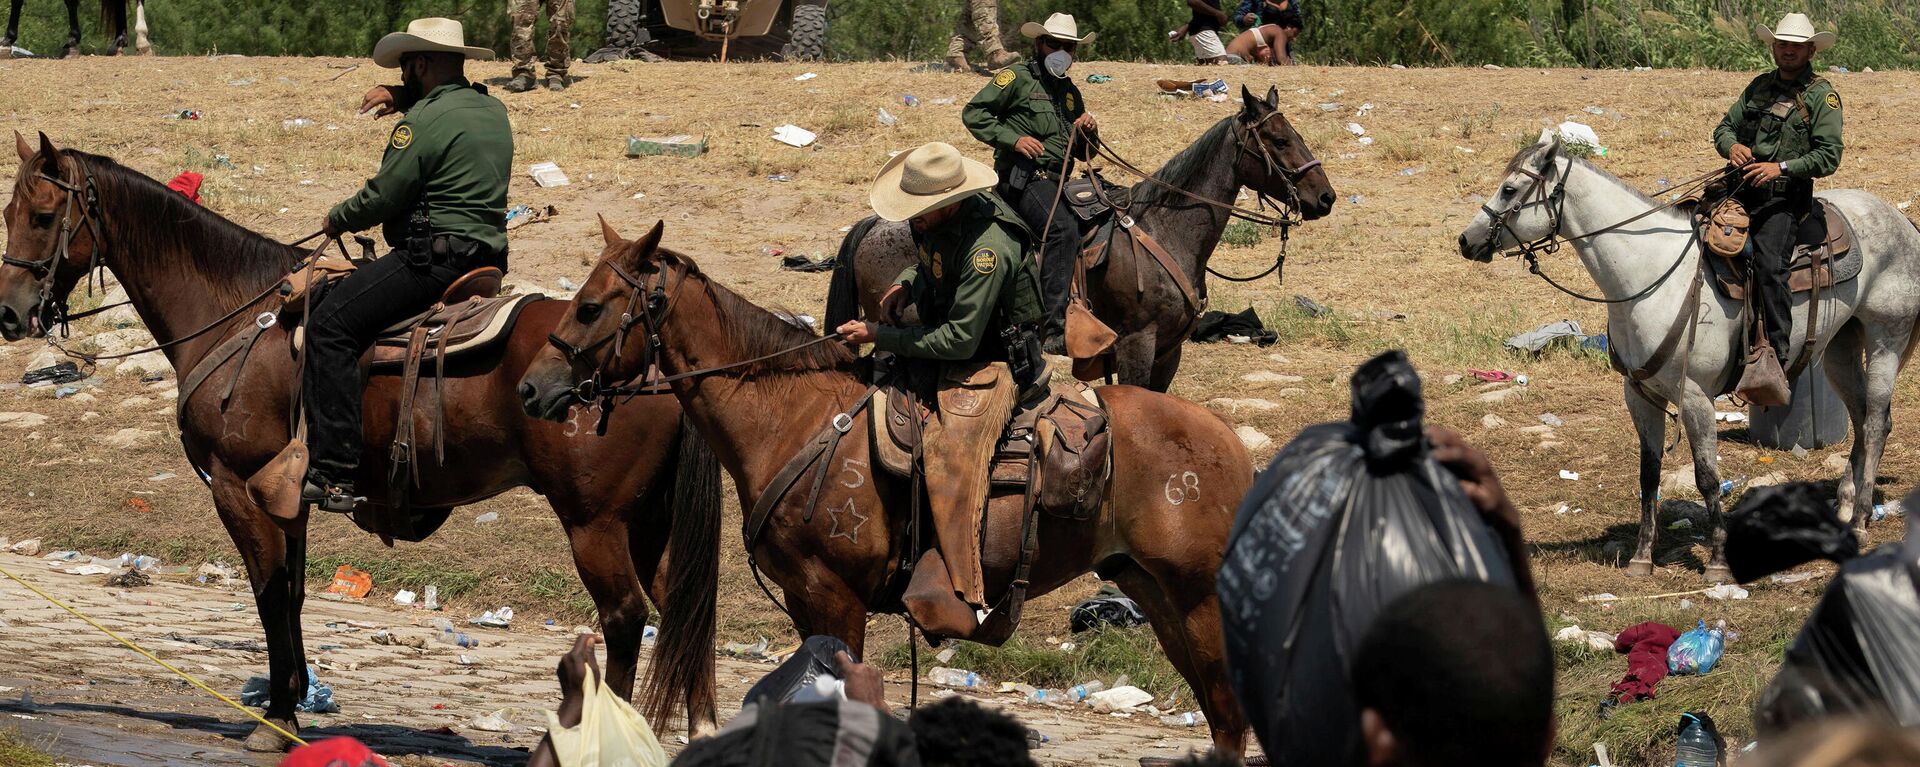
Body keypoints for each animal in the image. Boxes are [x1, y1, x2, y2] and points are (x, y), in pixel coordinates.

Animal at [1, 135, 721, 753]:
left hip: (595, 522)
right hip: (648, 523)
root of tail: (653, 357)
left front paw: (276, 719)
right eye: (9, 211)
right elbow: (291, 594)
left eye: (42, 215)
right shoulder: (289, 497)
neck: (238, 313)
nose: (10, 313)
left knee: (624, 618)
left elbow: (268, 593)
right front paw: (291, 701)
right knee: (683, 611)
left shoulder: (238, 487)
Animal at [518, 219, 1259, 761]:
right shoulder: (806, 602)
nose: (529, 387)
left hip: (1197, 598)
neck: (792, 418)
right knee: (1222, 718)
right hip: (1154, 592)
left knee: (1229, 716)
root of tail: (1230, 444)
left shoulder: (835, 597)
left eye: (590, 306)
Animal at [825, 86, 1336, 394]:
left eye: (1295, 133)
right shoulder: (1136, 345)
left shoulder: (1169, 351)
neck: (1164, 232)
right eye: (1278, 139)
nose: (1326, 197)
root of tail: (875, 224)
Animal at [1451, 139, 1920, 584]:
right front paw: (1642, 557)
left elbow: (1707, 476)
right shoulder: (1639, 394)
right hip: (1840, 347)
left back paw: (1859, 521)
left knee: (1875, 423)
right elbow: (1649, 474)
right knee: (1862, 418)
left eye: (1510, 189)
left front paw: (1717, 562)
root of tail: (1902, 223)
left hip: (1886, 338)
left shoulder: (1696, 396)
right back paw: (1843, 507)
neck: (1649, 277)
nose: (1466, 241)